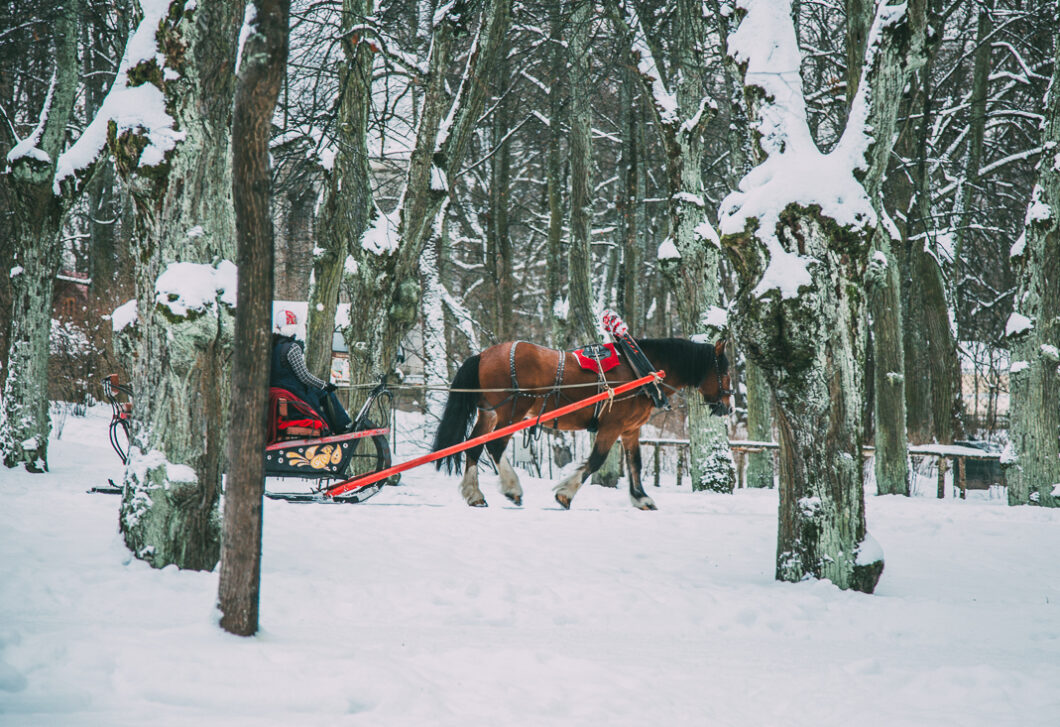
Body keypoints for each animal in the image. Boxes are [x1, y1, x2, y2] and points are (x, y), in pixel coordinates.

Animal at [430, 339, 729, 510]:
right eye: (725, 371)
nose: (727, 407)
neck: (640, 370)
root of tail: (483, 354)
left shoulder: (630, 429)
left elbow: (635, 463)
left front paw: (641, 498)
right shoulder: (612, 426)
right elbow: (596, 461)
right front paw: (565, 494)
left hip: (490, 413)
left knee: (474, 447)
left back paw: (474, 495)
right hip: (511, 412)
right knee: (494, 446)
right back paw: (512, 488)